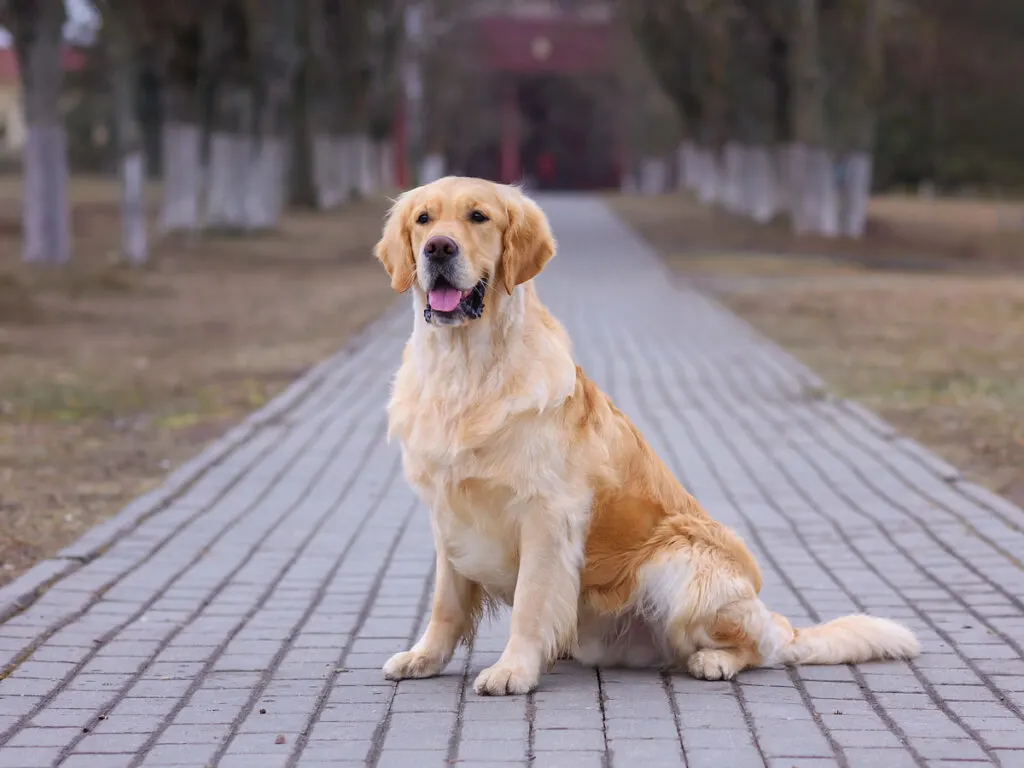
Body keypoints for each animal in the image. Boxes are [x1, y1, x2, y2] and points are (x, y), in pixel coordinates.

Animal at [372, 176, 917, 696]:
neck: (466, 372)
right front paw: (423, 657)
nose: (438, 249)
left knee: (757, 646)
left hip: (679, 559)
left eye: (478, 217)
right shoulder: (449, 514)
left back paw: (716, 660)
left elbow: (530, 602)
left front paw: (514, 670)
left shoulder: (547, 514)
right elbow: (445, 603)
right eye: (424, 220)